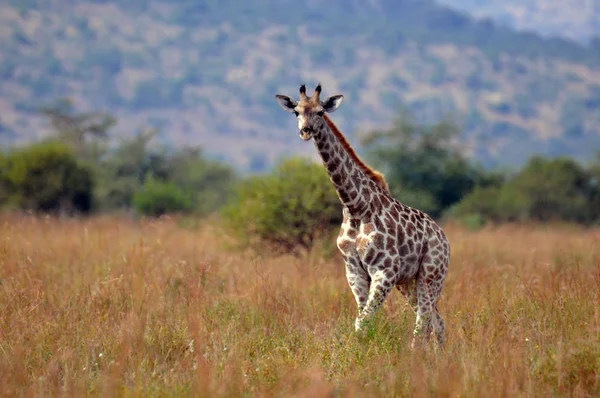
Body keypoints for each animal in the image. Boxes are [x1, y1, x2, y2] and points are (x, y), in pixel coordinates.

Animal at [274, 83, 448, 346]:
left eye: (321, 112)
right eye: (297, 112)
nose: (305, 131)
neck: (356, 207)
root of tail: (443, 237)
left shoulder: (385, 272)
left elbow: (364, 321)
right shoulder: (354, 272)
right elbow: (362, 321)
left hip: (431, 274)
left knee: (424, 319)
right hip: (409, 282)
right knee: (435, 319)